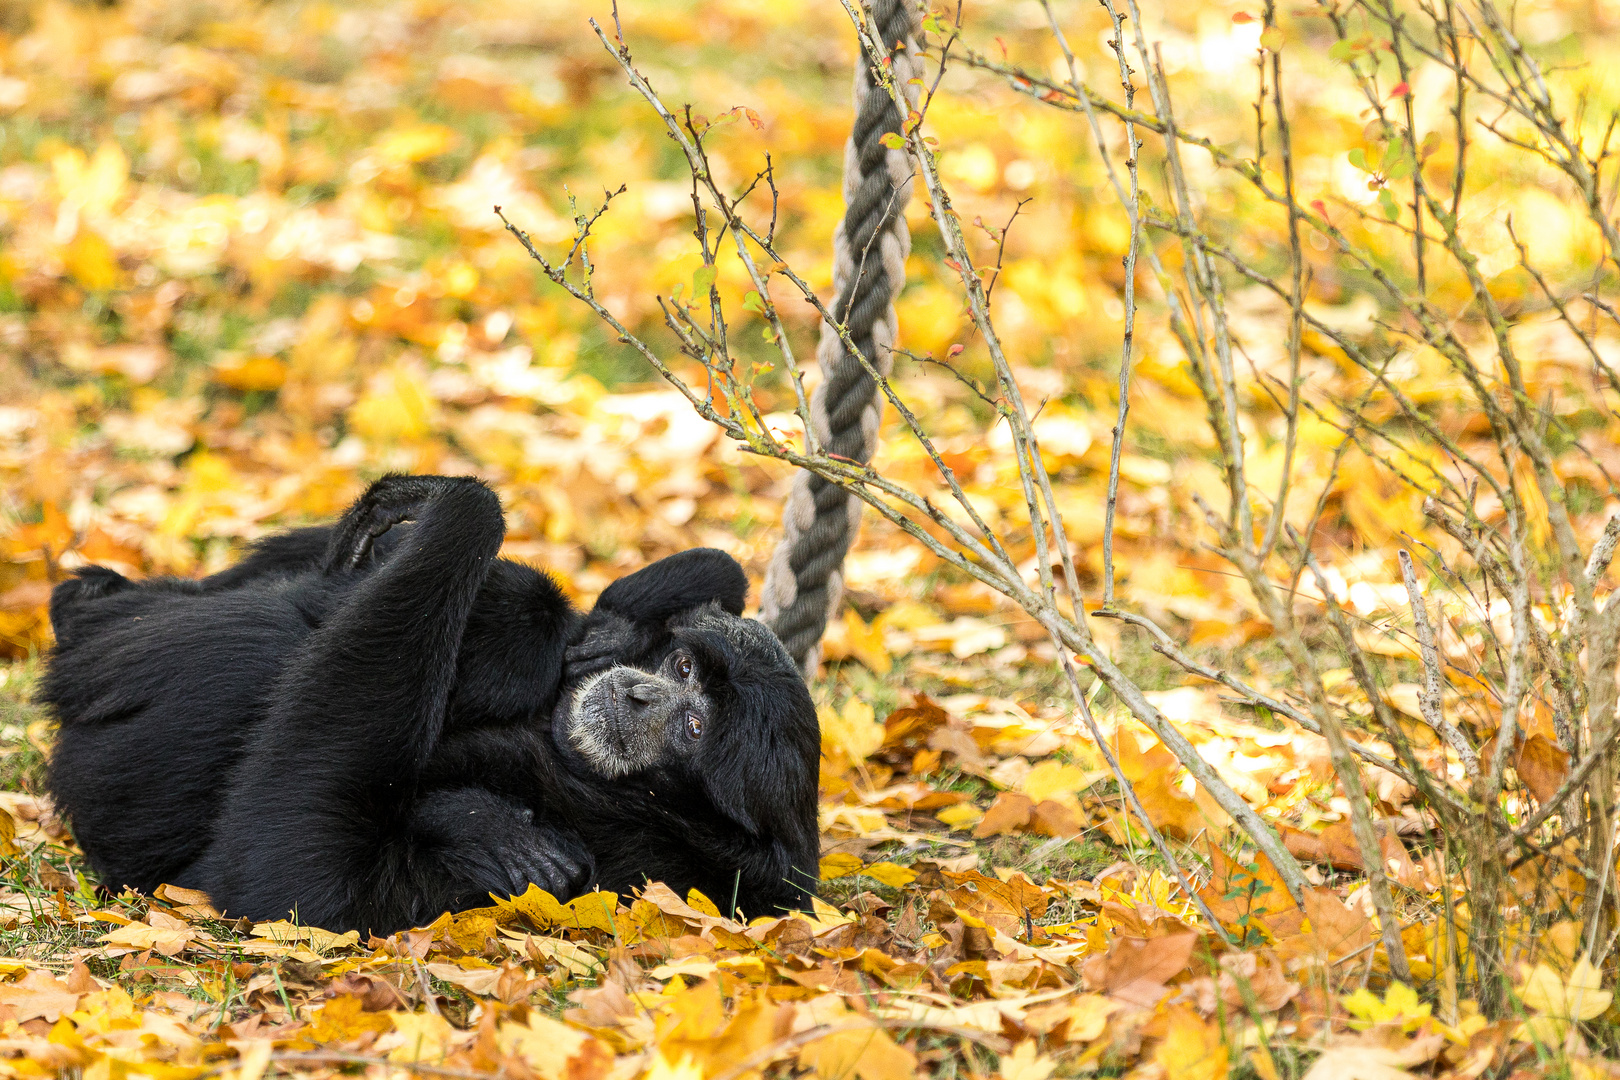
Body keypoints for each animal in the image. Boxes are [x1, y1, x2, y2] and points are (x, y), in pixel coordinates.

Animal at [38, 476, 822, 939]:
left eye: (693, 727)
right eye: (681, 669)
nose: (639, 693)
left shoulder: (655, 866)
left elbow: (295, 877)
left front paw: (463, 508)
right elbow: (716, 569)